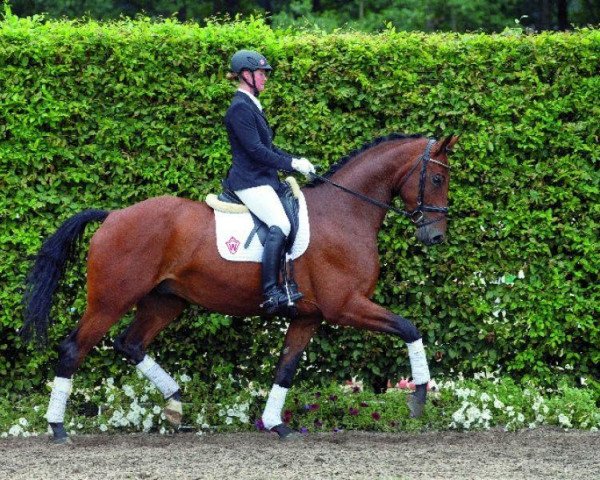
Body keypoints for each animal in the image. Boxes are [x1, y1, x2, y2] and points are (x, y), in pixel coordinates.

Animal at [21, 131, 458, 442]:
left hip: (165, 301)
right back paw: (58, 429)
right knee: (74, 348)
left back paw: (176, 406)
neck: (345, 212)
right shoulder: (346, 305)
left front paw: (275, 424)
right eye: (437, 177)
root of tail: (112, 215)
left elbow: (286, 368)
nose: (435, 236)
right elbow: (409, 328)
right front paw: (419, 397)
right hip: (111, 300)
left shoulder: (309, 316)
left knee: (131, 344)